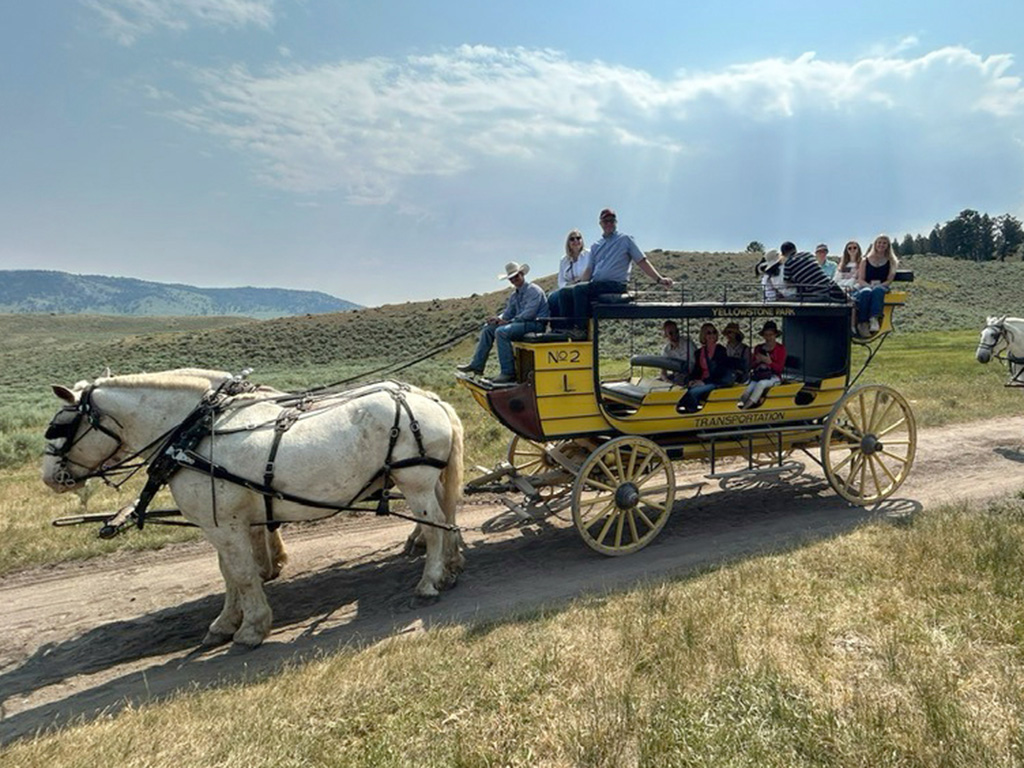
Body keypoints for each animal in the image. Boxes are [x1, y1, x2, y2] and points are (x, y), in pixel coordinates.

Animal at [41, 370, 466, 647]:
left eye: (57, 427)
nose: (48, 477)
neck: (193, 436)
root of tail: (431, 400)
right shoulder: (221, 524)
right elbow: (228, 574)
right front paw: (224, 624)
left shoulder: (225, 524)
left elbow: (244, 575)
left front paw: (251, 628)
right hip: (427, 481)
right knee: (447, 520)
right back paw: (449, 570)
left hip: (415, 481)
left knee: (434, 526)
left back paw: (429, 582)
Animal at [460, 274, 917, 557]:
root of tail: (848, 303)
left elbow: (624, 489)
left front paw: (625, 506)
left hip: (841, 415)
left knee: (853, 436)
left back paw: (865, 473)